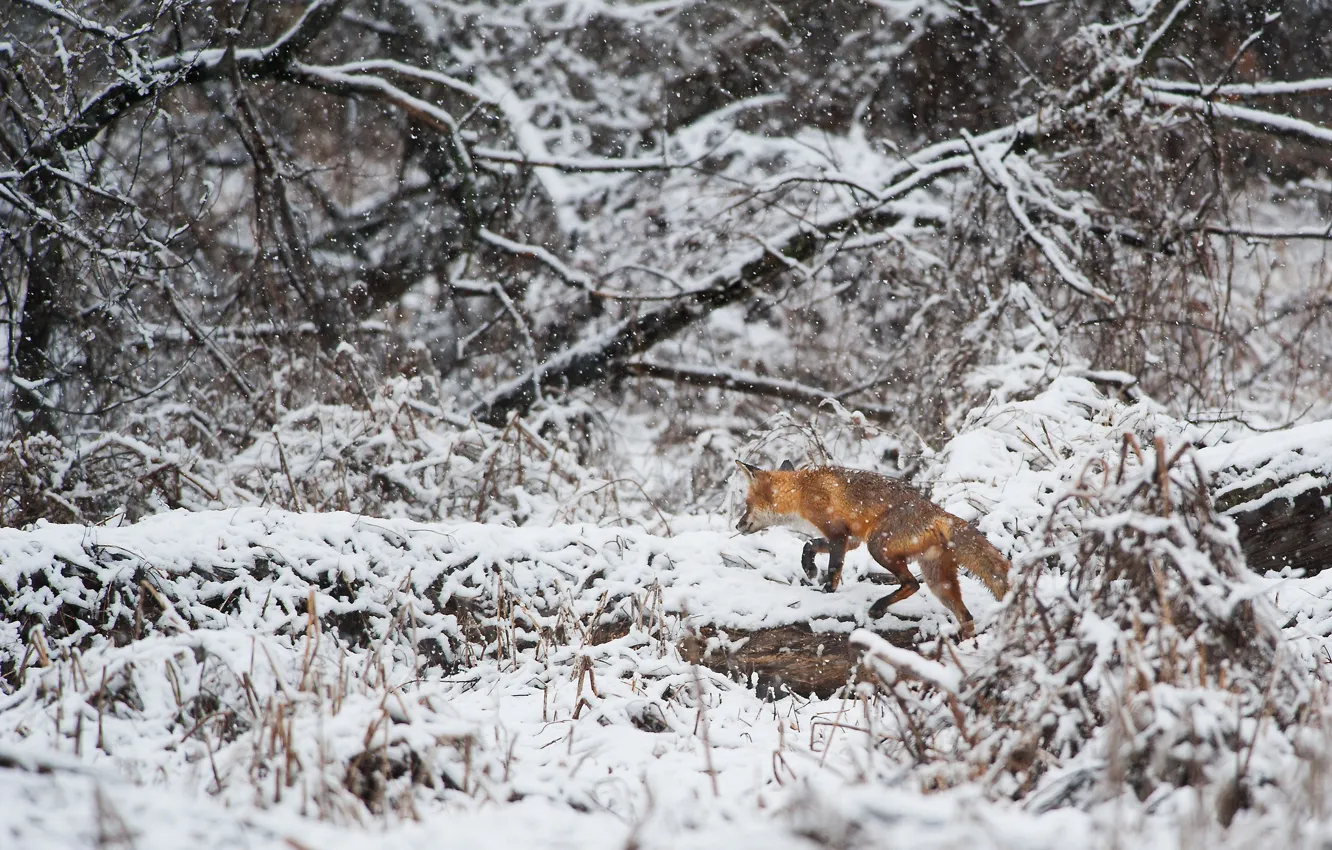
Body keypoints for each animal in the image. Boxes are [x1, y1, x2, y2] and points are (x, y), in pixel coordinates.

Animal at [735, 460, 1011, 638]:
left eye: (746, 504)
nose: (737, 525)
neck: (802, 490)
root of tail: (938, 512)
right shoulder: (851, 539)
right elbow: (809, 545)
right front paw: (809, 568)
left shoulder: (838, 533)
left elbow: (833, 568)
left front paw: (826, 592)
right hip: (938, 582)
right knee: (966, 617)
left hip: (878, 546)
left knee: (912, 584)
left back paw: (879, 607)